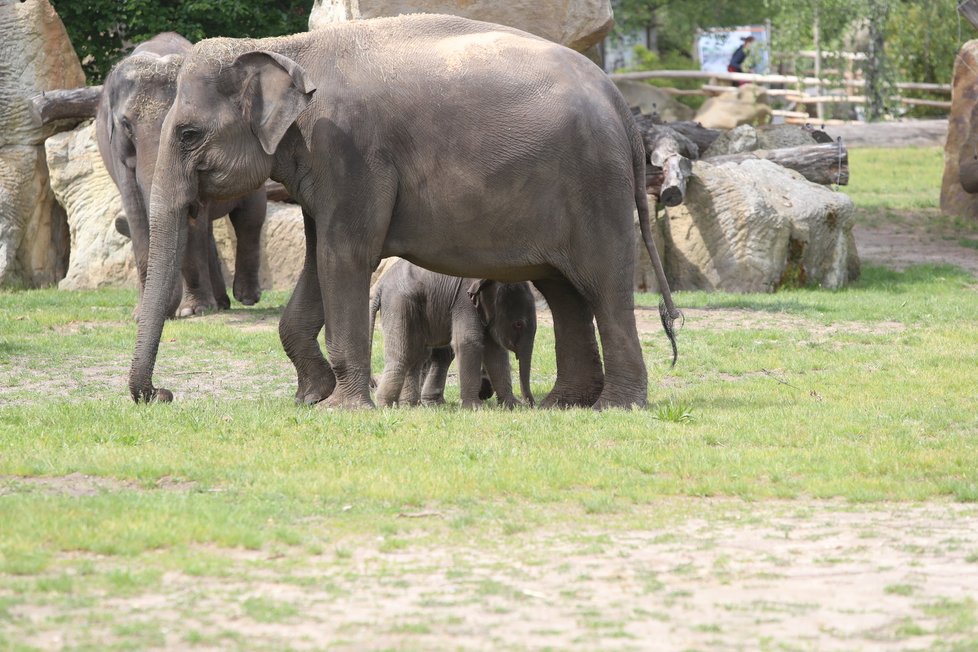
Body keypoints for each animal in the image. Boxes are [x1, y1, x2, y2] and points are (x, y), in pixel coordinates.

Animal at [370, 258, 532, 408]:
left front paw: (513, 406)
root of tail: (379, 285)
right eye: (518, 325)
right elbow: (468, 341)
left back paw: (411, 406)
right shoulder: (464, 300)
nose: (532, 405)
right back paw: (386, 406)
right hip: (399, 304)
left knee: (416, 355)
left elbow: (495, 350)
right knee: (403, 354)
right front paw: (474, 408)